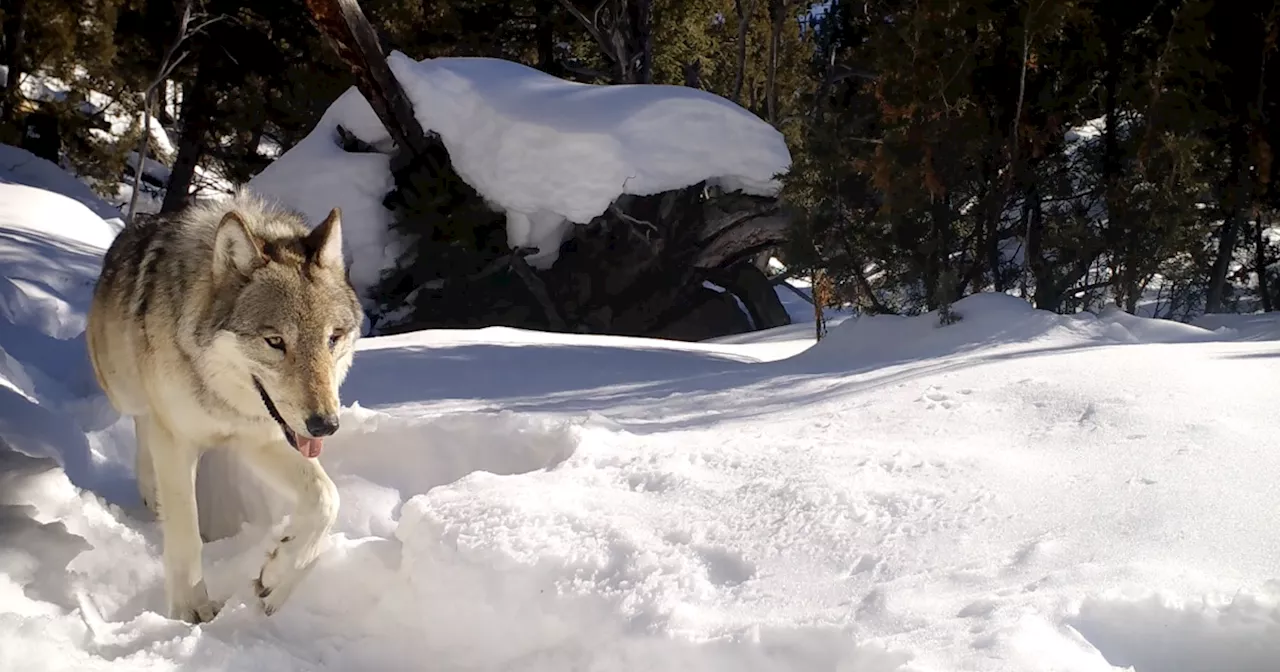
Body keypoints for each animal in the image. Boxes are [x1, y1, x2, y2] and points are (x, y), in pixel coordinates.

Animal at [87, 186, 363, 619]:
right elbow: (186, 533)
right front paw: (191, 610)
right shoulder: (177, 440)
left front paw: (279, 576)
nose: (326, 425)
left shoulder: (260, 439)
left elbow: (327, 498)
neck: (221, 395)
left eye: (332, 338)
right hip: (122, 388)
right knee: (143, 424)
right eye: (275, 341)